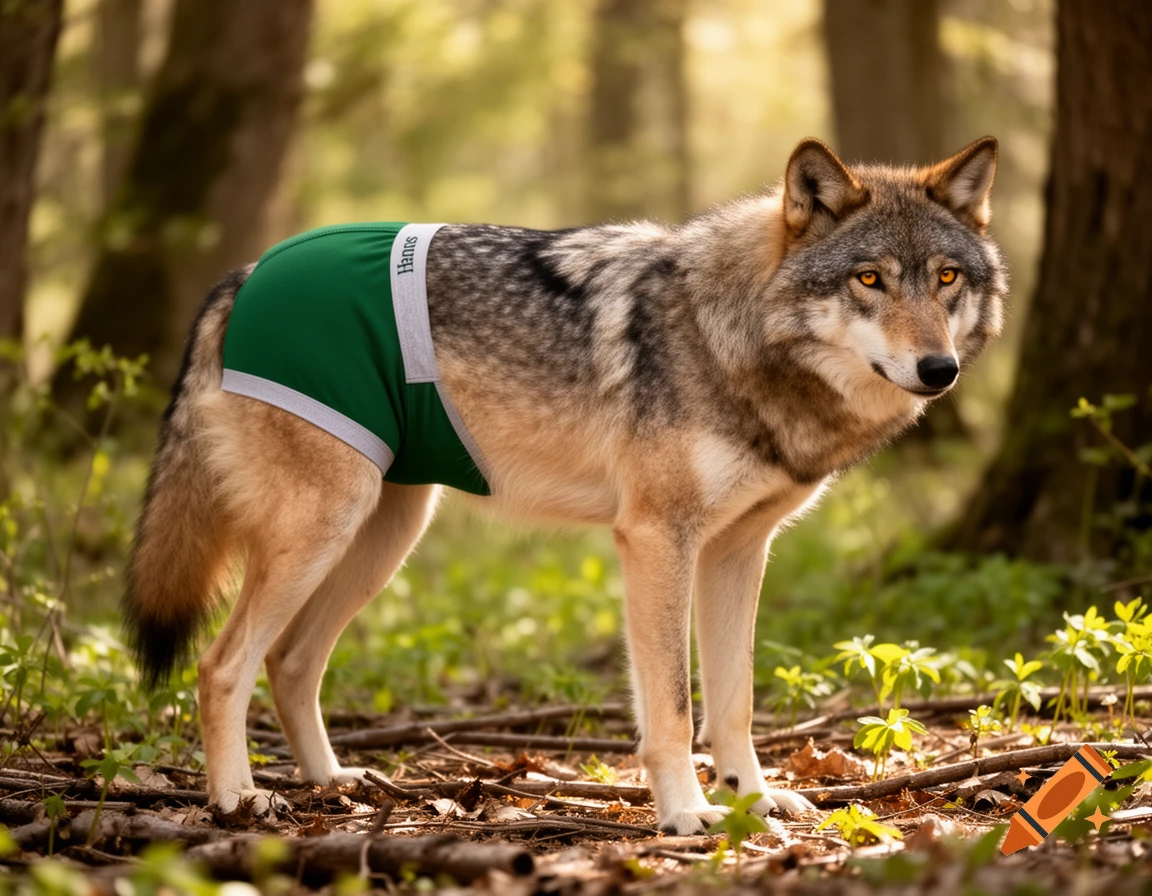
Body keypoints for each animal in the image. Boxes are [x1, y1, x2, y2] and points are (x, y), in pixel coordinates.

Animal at [123, 137, 1005, 834]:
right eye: (869, 280)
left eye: (947, 278)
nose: (939, 369)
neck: (729, 337)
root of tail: (241, 275)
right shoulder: (655, 541)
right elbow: (673, 707)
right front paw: (688, 815)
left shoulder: (737, 553)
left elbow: (735, 702)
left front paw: (752, 800)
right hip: (326, 530)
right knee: (223, 665)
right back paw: (238, 801)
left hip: (384, 536)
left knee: (293, 661)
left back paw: (333, 782)